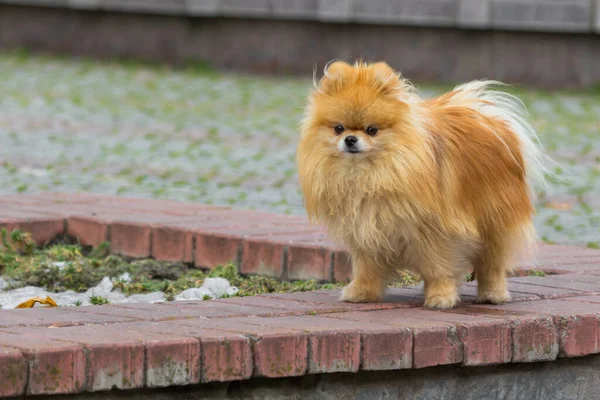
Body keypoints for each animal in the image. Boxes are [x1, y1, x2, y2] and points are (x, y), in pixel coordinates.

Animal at [296, 60, 548, 310]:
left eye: (372, 130)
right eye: (338, 128)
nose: (350, 139)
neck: (371, 174)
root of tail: (491, 122)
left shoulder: (436, 232)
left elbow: (438, 268)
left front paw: (441, 297)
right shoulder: (365, 230)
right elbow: (367, 267)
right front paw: (361, 292)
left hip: (493, 221)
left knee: (492, 264)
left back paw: (492, 295)